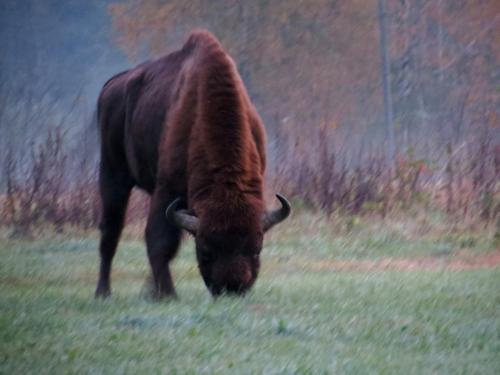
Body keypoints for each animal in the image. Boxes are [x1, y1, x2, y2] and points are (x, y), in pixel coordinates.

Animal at [94, 30, 290, 300]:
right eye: (205, 250)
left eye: (256, 249)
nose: (232, 288)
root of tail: (111, 86)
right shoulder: (166, 191)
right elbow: (159, 241)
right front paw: (168, 294)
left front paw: (155, 291)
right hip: (113, 175)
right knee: (110, 232)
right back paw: (103, 292)